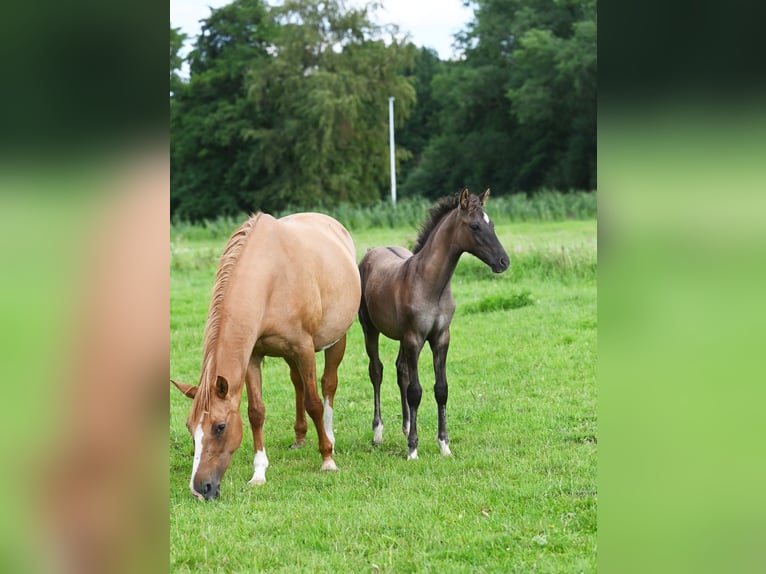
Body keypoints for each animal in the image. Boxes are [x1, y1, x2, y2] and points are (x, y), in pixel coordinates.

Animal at [173, 212, 364, 500]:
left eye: (220, 427)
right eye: (189, 427)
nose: (199, 489)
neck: (270, 279)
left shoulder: (303, 347)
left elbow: (314, 404)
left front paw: (327, 459)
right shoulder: (253, 355)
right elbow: (256, 412)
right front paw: (259, 473)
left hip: (335, 340)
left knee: (327, 385)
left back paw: (329, 437)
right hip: (289, 355)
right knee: (297, 384)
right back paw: (299, 438)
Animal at [358, 190, 510, 464]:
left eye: (491, 224)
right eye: (475, 226)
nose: (504, 261)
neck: (430, 284)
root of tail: (369, 254)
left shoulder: (440, 338)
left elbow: (441, 389)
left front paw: (444, 445)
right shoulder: (414, 338)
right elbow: (416, 391)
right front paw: (413, 449)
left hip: (401, 338)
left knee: (401, 370)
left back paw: (407, 424)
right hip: (370, 329)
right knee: (377, 371)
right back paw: (378, 432)